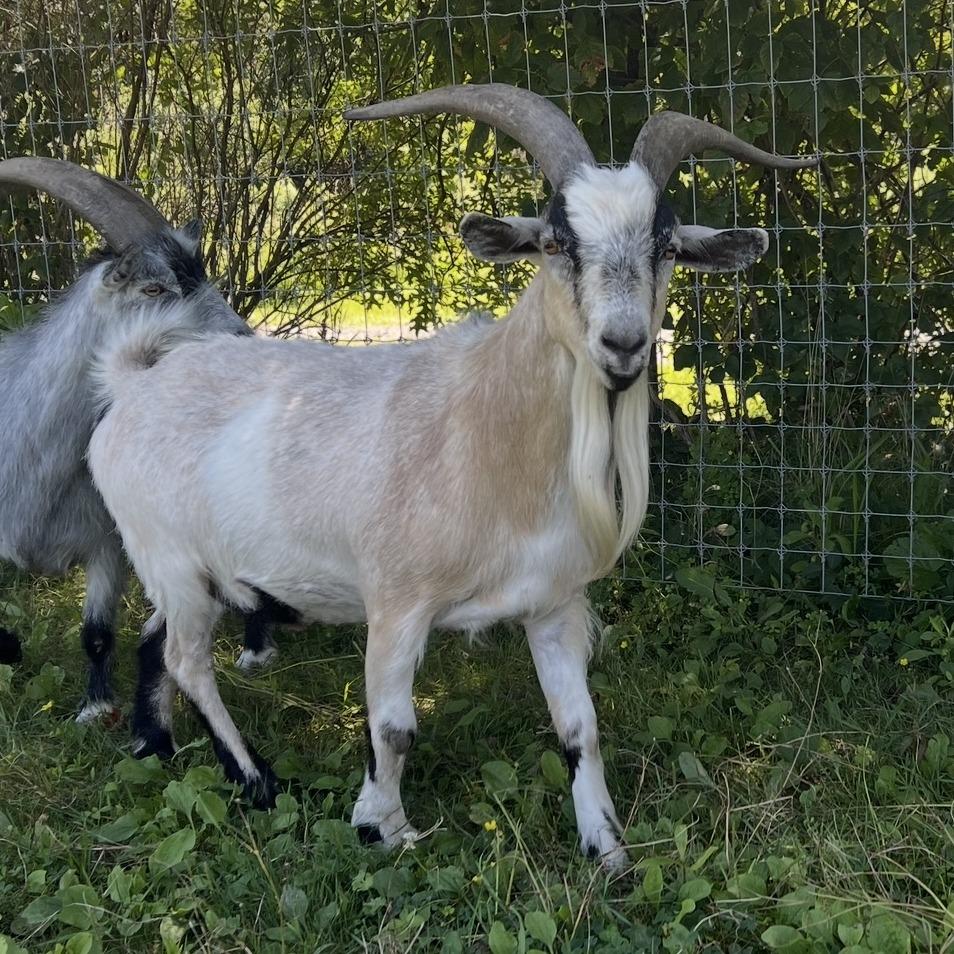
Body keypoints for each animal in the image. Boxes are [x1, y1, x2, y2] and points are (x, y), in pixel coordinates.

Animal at [0, 159, 278, 724]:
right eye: (152, 290)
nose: (243, 347)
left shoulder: (108, 540)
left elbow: (96, 632)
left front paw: (95, 707)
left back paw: (256, 650)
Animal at [88, 85, 815, 868]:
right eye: (555, 243)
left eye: (669, 247)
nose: (623, 344)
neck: (485, 438)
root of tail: (132, 383)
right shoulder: (396, 599)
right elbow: (394, 727)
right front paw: (383, 826)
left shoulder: (553, 605)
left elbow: (580, 728)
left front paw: (608, 848)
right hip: (170, 557)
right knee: (188, 659)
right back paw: (257, 780)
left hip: (189, 573)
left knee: (155, 643)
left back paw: (156, 746)